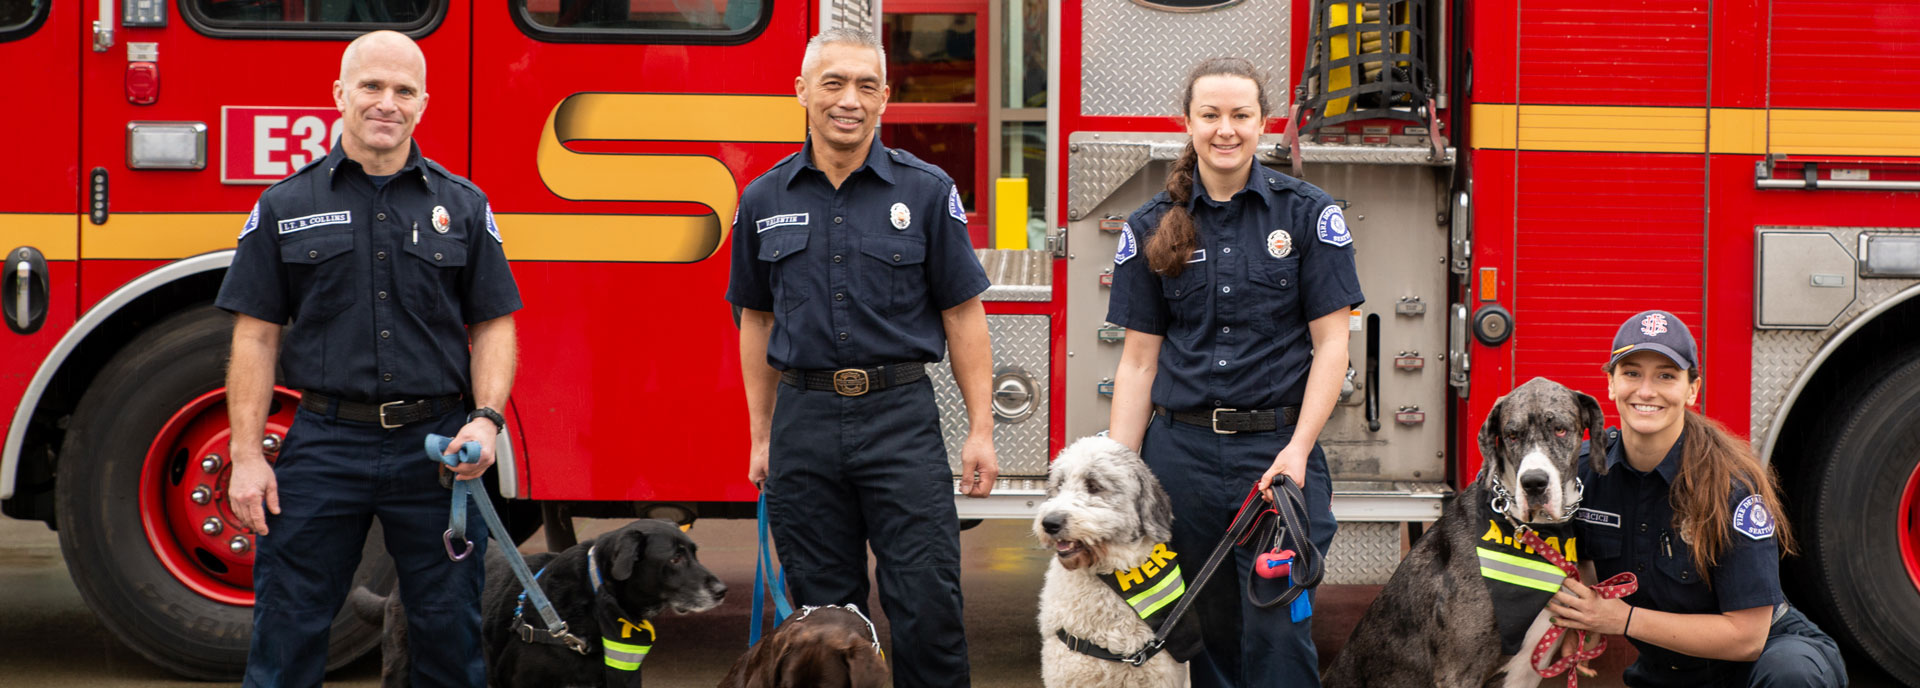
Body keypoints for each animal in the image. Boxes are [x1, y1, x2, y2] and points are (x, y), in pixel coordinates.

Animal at [1320, 378, 1605, 688]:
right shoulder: (1458, 672)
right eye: (1512, 435)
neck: (1529, 532)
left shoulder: (1528, 670)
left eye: (1560, 429)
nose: (1533, 483)